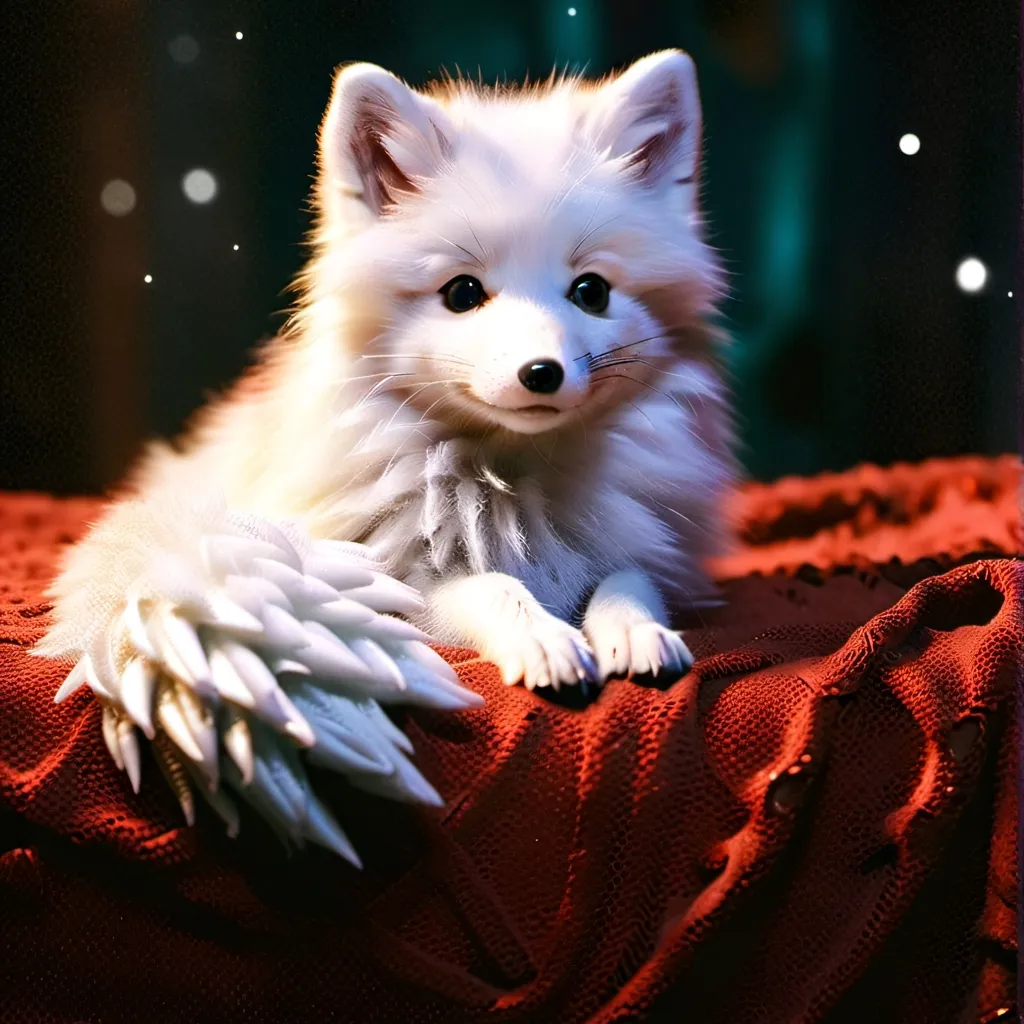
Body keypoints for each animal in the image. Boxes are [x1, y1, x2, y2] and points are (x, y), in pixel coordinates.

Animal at [32, 50, 736, 863]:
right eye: (462, 293)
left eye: (591, 291)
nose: (542, 373)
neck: (508, 478)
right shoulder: (388, 580)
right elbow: (494, 587)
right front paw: (542, 634)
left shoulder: (654, 553)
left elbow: (627, 578)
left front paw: (633, 629)